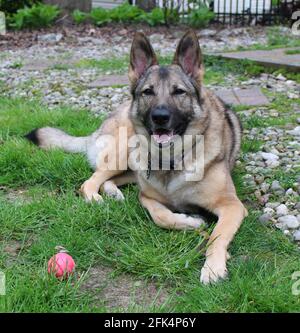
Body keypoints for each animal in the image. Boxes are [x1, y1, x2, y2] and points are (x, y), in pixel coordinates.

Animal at [25, 30, 246, 282]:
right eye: (148, 92)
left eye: (179, 91)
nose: (160, 117)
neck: (172, 159)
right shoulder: (146, 197)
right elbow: (162, 216)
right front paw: (191, 222)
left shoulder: (232, 206)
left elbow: (217, 235)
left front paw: (213, 266)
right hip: (123, 152)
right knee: (90, 181)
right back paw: (96, 198)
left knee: (109, 179)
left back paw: (113, 193)